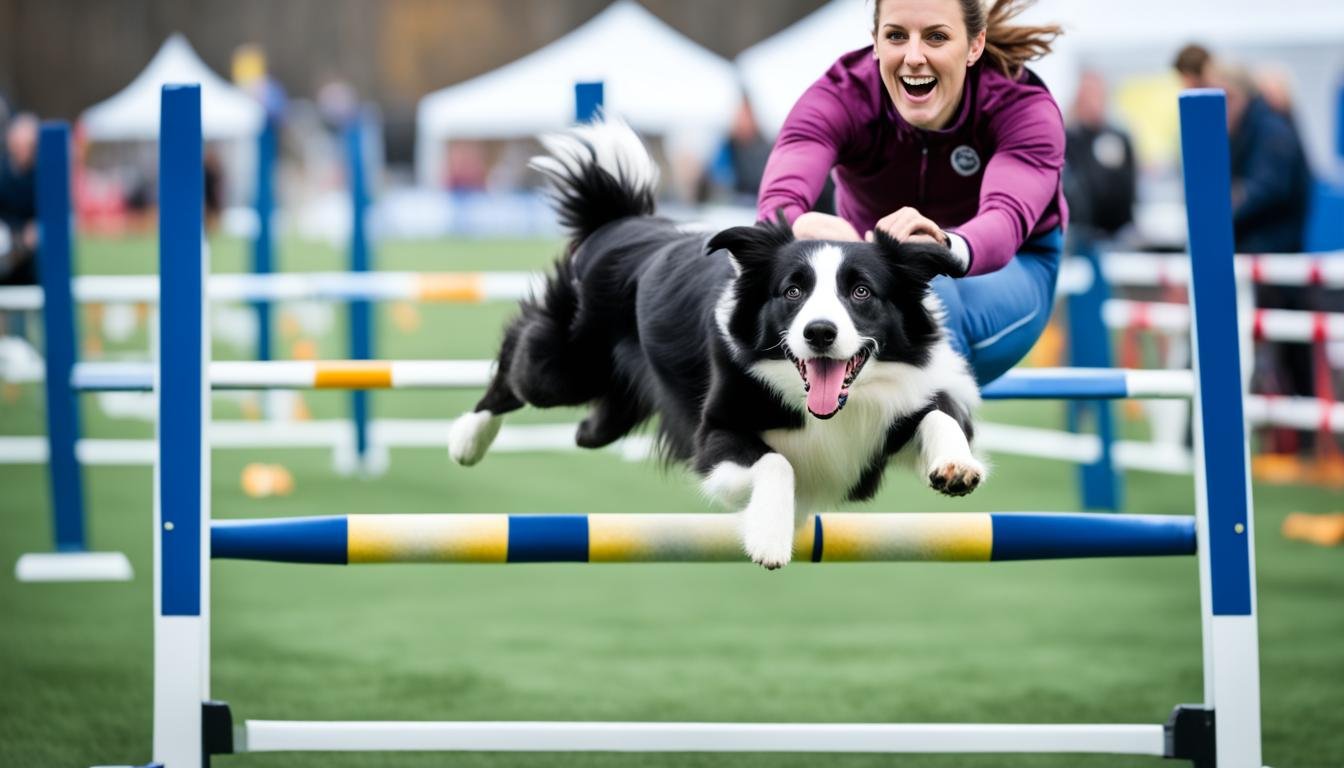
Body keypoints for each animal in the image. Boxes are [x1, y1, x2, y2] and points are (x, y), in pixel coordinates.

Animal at [451, 119, 989, 564]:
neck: (827, 408)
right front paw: (770, 536)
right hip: (564, 367)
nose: (819, 333)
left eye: (861, 292)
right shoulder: (715, 435)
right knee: (518, 364)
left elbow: (941, 415)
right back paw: (467, 440)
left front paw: (956, 466)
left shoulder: (893, 411)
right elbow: (776, 462)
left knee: (592, 427)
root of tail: (621, 220)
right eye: (792, 291)